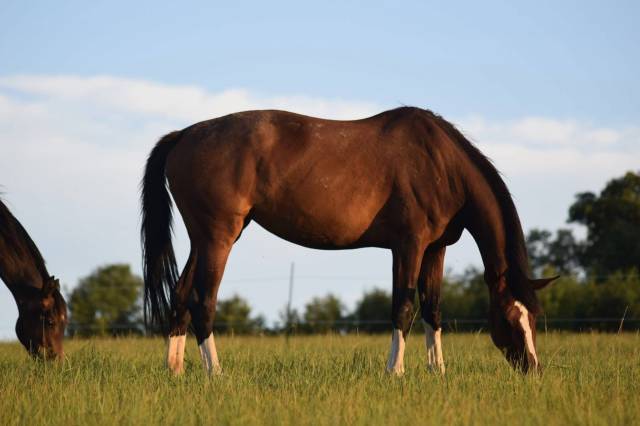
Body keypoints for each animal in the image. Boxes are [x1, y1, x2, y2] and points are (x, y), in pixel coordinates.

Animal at [141, 106, 557, 376]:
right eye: (510, 317)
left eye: (535, 316)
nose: (534, 369)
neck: (440, 163)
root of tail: (184, 135)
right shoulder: (408, 245)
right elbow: (403, 306)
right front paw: (395, 372)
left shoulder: (435, 249)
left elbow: (433, 309)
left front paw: (437, 371)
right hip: (218, 238)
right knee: (203, 301)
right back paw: (216, 374)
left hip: (203, 239)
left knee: (181, 295)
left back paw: (175, 370)